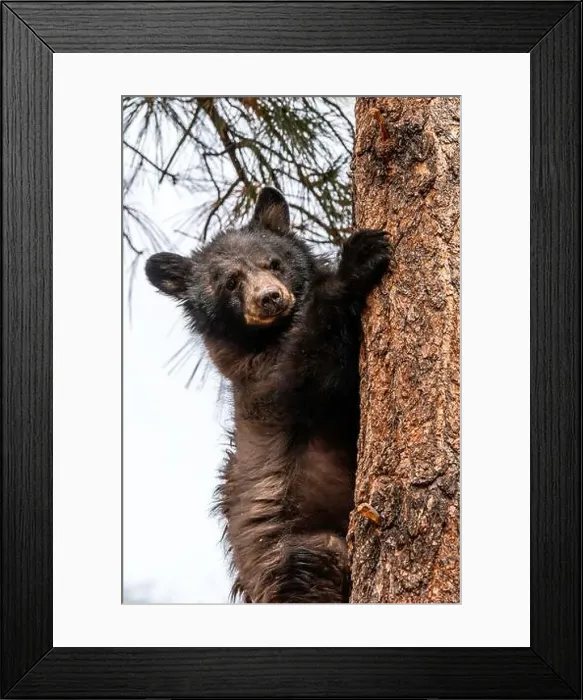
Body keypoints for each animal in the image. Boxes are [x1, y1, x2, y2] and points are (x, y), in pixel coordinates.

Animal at [145, 186, 390, 603]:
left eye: (274, 263)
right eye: (230, 282)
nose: (271, 297)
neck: (271, 334)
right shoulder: (259, 381)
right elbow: (308, 372)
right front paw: (355, 263)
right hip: (293, 550)